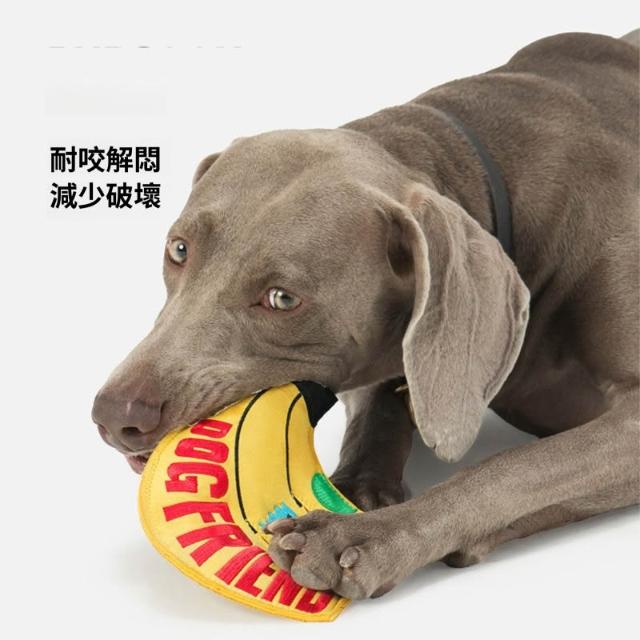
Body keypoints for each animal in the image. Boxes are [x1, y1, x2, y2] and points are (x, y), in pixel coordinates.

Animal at [92, 31, 639, 600]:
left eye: (282, 299)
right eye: (178, 249)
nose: (115, 416)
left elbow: (509, 470)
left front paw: (361, 537)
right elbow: (380, 411)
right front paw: (354, 488)